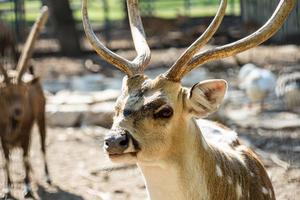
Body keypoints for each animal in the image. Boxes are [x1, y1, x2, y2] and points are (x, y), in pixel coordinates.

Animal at [0, 6, 50, 200]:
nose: (18, 111)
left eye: (24, 92)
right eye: (4, 93)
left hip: (42, 116)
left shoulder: (25, 132)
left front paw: (28, 189)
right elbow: (6, 160)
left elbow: (25, 157)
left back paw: (47, 176)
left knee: (41, 146)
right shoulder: (1, 137)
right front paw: (7, 189)